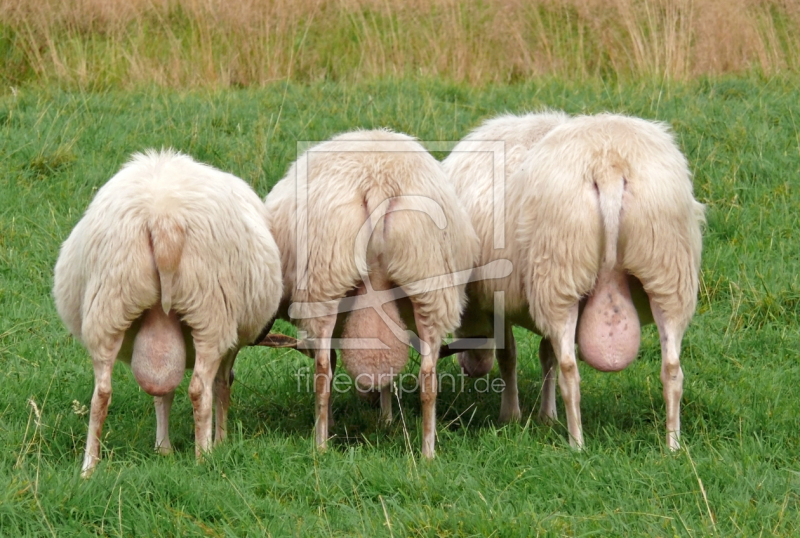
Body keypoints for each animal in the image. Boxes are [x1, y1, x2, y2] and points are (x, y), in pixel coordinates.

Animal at [51, 150, 282, 474]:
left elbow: (163, 392)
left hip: (109, 304)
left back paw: (88, 467)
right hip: (210, 309)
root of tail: (164, 221)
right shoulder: (232, 343)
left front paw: (163, 449)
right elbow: (222, 385)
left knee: (101, 394)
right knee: (199, 389)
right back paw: (204, 457)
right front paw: (221, 441)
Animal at [262, 129, 478, 456]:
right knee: (428, 376)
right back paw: (428, 453)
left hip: (324, 281)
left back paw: (321, 446)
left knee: (323, 370)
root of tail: (378, 182)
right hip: (430, 283)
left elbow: (332, 359)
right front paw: (387, 418)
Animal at [446, 112, 704, 448]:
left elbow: (511, 356)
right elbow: (546, 356)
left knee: (570, 369)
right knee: (672, 367)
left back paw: (577, 443)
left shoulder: (497, 299)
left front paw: (511, 416)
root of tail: (609, 165)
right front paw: (546, 416)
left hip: (559, 274)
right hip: (668, 273)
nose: (470, 369)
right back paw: (672, 444)